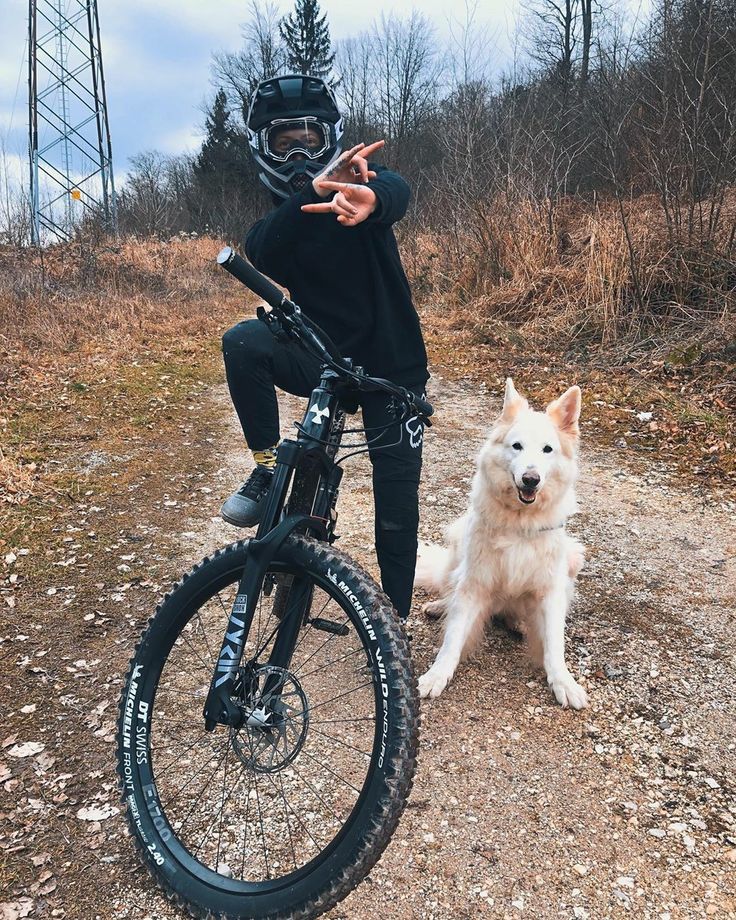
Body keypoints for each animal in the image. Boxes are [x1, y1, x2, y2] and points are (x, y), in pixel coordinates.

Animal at [416, 378, 588, 708]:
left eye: (547, 449)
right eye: (516, 446)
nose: (531, 479)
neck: (520, 522)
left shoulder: (550, 588)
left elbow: (555, 644)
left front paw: (563, 682)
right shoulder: (475, 581)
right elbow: (453, 638)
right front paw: (437, 675)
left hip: (573, 556)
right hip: (458, 541)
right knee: (451, 588)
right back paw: (441, 605)